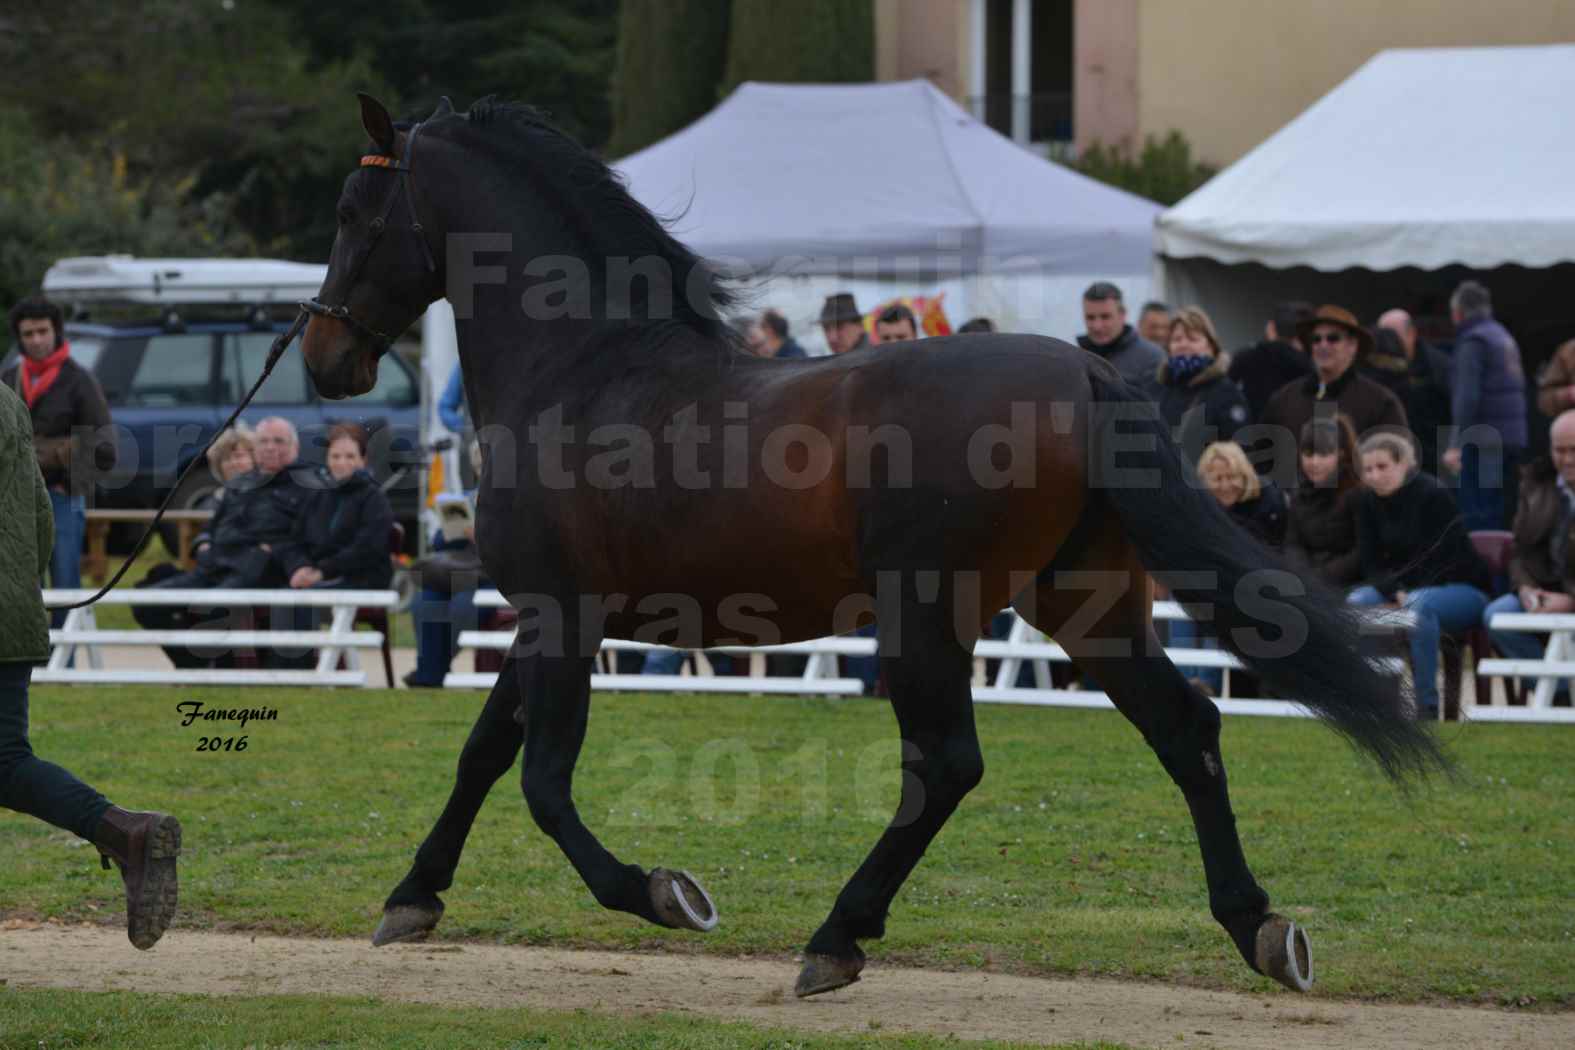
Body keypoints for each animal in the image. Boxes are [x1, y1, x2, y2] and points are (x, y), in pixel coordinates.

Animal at [296, 94, 1442, 1001]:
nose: (324, 355)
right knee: (1186, 728)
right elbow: (486, 751)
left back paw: (837, 937)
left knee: (946, 765)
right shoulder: (549, 621)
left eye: (352, 214)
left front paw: (664, 894)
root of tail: (1084, 374)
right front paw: (412, 897)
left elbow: (540, 781)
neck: (581, 369)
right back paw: (1259, 928)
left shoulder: (560, 618)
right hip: (1086, 605)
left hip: (927, 614)